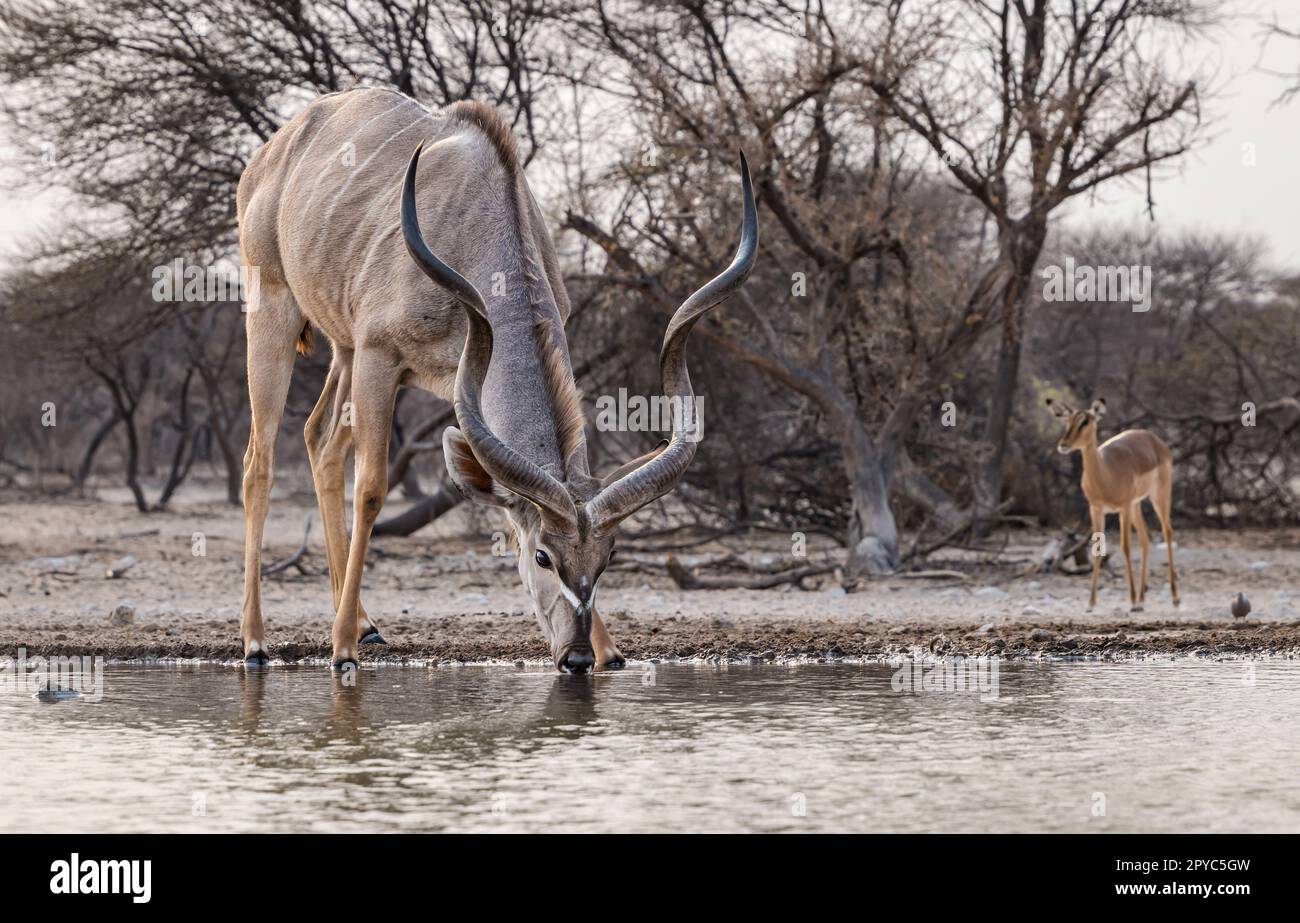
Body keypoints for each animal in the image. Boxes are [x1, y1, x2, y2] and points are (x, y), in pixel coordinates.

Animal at [239, 90, 759, 670]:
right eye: (543, 556)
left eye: (608, 556)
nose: (576, 658)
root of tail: (273, 150)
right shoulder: (381, 355)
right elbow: (371, 488)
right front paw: (342, 649)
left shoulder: (427, 367)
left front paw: (611, 651)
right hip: (276, 311)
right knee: (259, 461)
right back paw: (258, 641)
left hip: (343, 350)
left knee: (319, 441)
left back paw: (366, 624)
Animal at [1045, 397, 1180, 613]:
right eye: (1067, 420)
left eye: (1085, 421)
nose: (1063, 445)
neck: (1105, 472)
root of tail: (1155, 440)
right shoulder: (1096, 509)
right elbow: (1097, 550)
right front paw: (1091, 603)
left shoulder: (1122, 509)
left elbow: (1126, 547)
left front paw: (1131, 601)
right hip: (1136, 505)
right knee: (1145, 539)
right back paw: (1142, 598)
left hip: (1158, 497)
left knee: (1167, 532)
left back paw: (1173, 598)